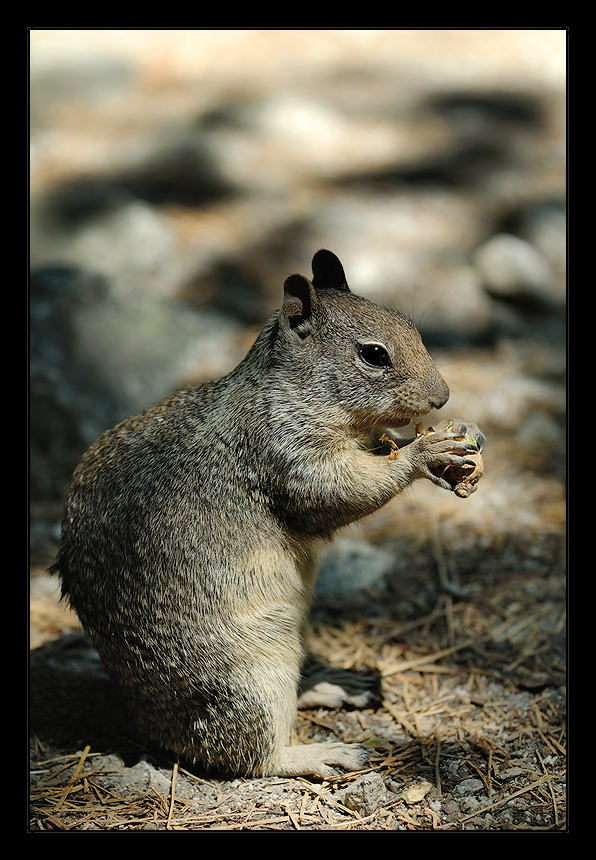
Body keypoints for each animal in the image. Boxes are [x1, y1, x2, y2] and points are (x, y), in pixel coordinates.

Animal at [46, 250, 484, 780]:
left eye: (412, 327)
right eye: (374, 355)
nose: (442, 397)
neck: (291, 391)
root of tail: (142, 721)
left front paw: (448, 452)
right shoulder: (286, 453)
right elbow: (339, 492)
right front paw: (425, 451)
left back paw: (334, 684)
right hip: (252, 677)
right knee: (252, 755)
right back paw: (323, 752)